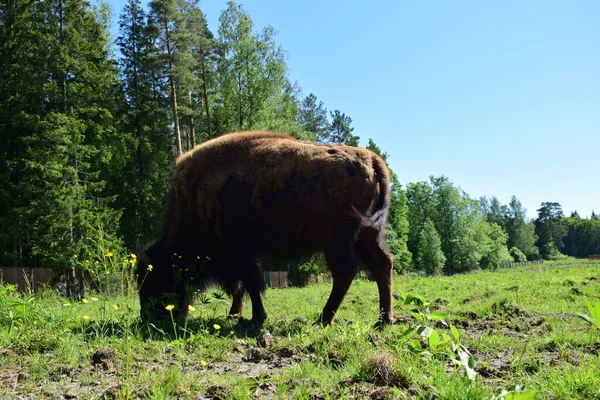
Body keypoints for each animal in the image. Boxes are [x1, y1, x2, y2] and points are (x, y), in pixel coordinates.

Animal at [137, 133, 396, 326]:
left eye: (153, 276)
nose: (148, 317)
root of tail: (372, 160)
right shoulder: (240, 256)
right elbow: (241, 286)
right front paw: (236, 315)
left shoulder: (240, 252)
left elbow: (250, 283)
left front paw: (256, 319)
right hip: (367, 235)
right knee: (381, 265)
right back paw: (383, 321)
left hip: (337, 240)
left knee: (346, 270)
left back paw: (324, 319)